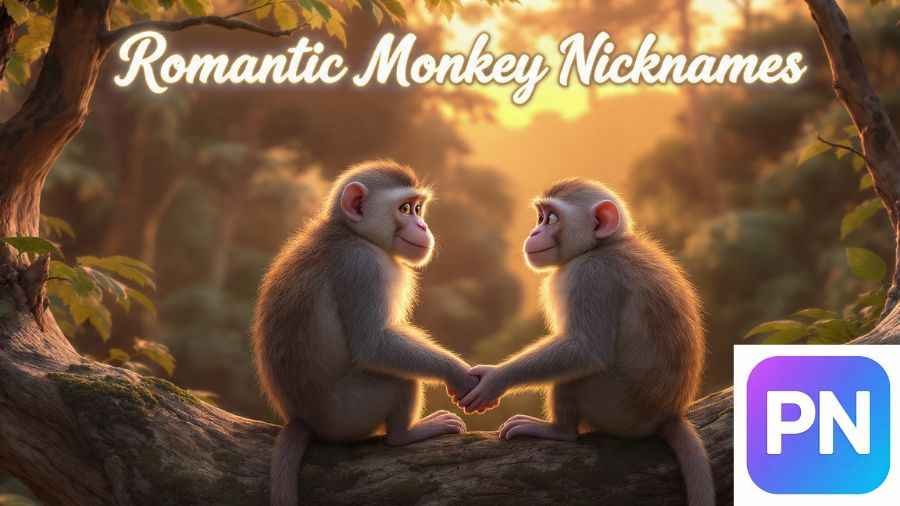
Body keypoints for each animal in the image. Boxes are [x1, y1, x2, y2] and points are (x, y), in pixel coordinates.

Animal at [253, 160, 478, 506]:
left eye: (418, 208)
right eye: (405, 209)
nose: (423, 227)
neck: (352, 233)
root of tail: (303, 419)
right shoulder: (363, 266)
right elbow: (374, 346)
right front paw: (458, 373)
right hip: (350, 414)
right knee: (398, 378)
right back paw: (405, 435)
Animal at [460, 178, 715, 506]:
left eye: (550, 219)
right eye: (539, 217)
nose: (533, 233)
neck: (602, 246)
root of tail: (667, 414)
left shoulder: (591, 276)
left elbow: (585, 350)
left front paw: (493, 379)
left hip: (616, 409)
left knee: (577, 375)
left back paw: (558, 431)